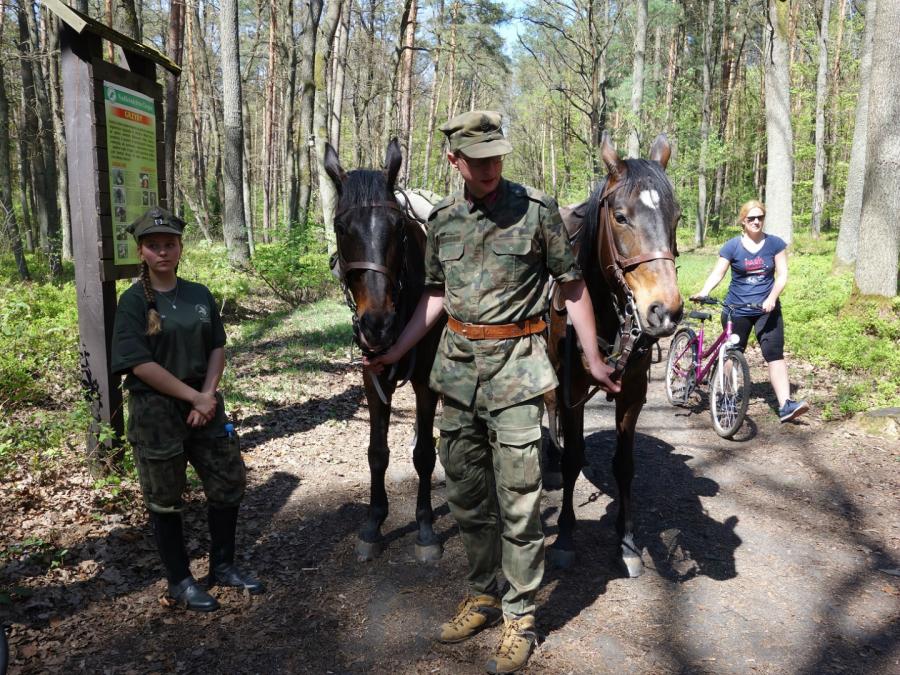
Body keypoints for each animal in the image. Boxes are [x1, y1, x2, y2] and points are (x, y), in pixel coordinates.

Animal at [323, 138, 445, 563]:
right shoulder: (372, 374)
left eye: (397, 228)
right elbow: (377, 452)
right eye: (341, 228)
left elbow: (424, 454)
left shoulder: (426, 379)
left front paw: (425, 527)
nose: (377, 324)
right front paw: (374, 523)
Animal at [545, 132, 683, 577]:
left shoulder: (633, 391)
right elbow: (573, 457)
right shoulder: (571, 386)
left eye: (676, 218)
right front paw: (565, 536)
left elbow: (624, 466)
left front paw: (626, 541)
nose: (664, 311)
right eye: (620, 217)